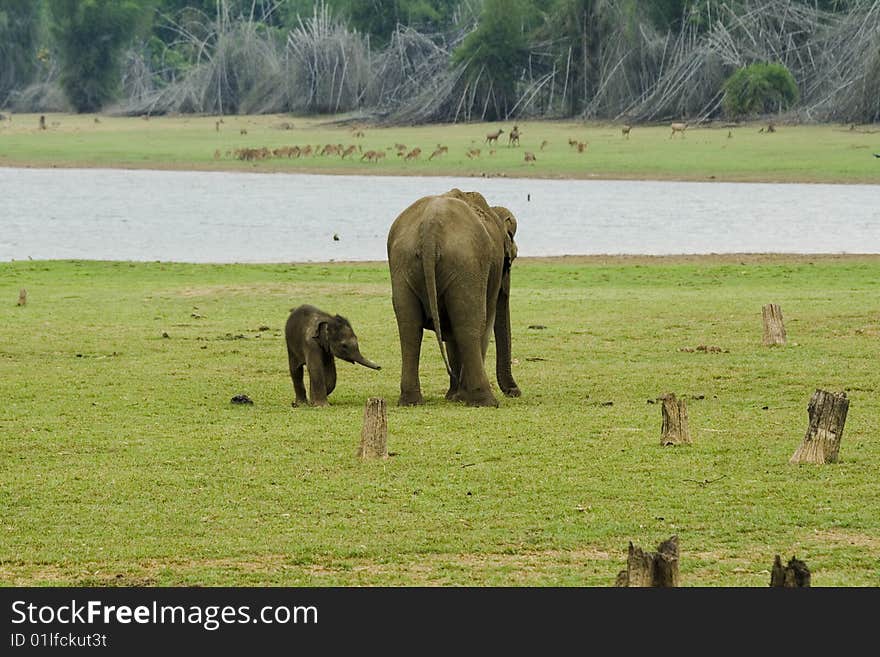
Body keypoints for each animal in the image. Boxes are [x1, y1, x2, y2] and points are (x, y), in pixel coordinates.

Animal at [386, 187, 524, 408]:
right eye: (510, 261)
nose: (515, 392)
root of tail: (430, 226)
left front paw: (454, 396)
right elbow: (485, 322)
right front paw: (460, 396)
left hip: (401, 264)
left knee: (409, 327)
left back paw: (410, 401)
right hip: (466, 264)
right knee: (470, 323)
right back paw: (486, 401)